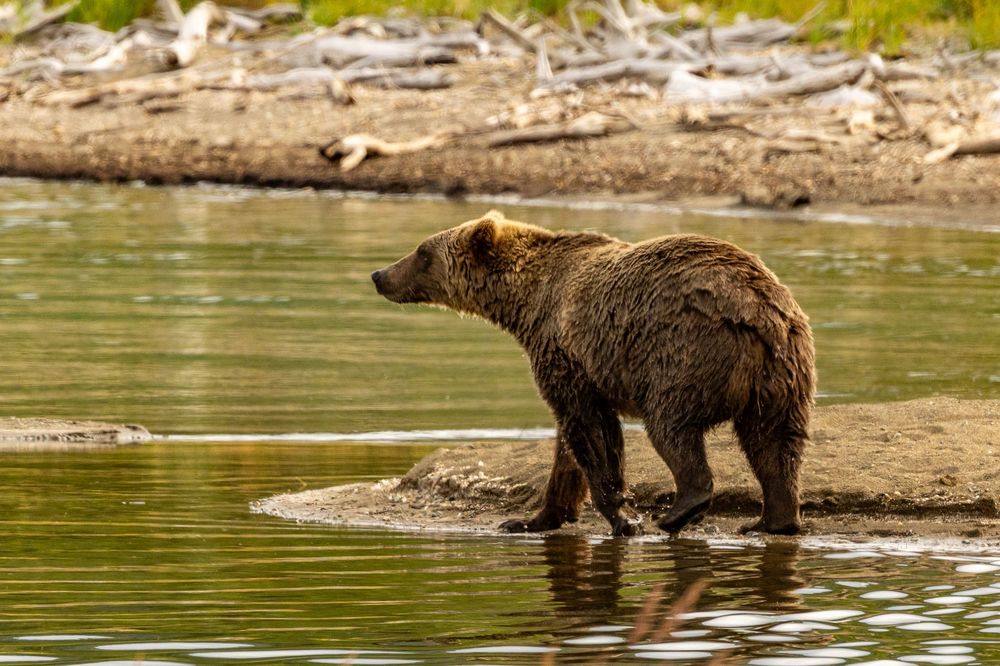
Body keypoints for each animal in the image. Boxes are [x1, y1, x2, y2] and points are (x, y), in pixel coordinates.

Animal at [371, 211, 815, 536]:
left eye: (421, 252)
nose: (379, 275)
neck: (526, 302)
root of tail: (758, 309)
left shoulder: (566, 352)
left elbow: (590, 431)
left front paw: (622, 516)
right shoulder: (576, 365)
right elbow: (568, 449)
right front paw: (530, 519)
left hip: (687, 354)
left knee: (672, 427)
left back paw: (677, 511)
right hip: (781, 375)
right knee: (774, 444)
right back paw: (771, 521)